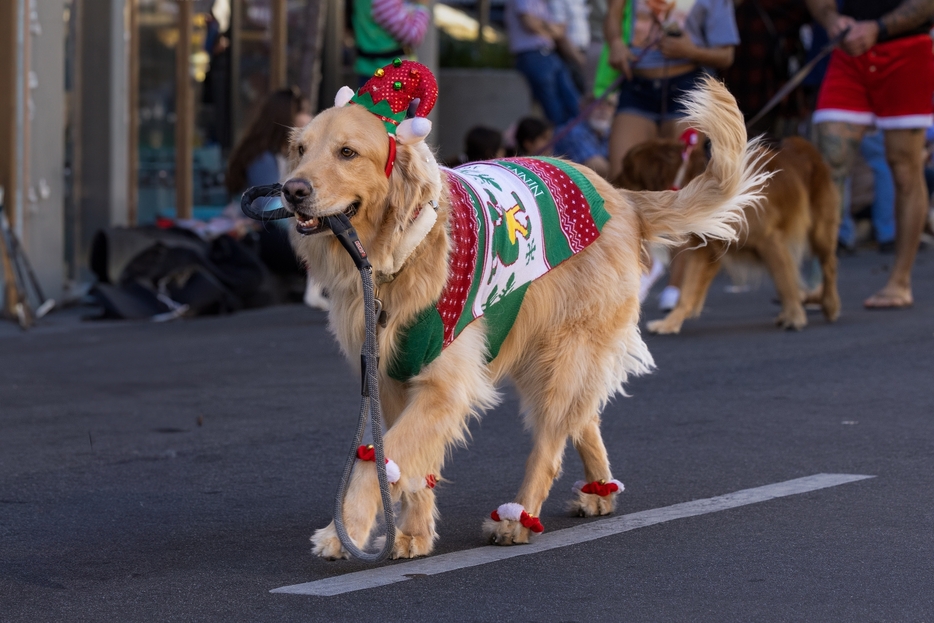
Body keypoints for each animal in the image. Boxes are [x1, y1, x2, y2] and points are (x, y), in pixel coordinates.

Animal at [286, 73, 768, 560]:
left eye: (348, 152)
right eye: (301, 149)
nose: (291, 191)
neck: (400, 254)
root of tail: (621, 196)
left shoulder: (443, 385)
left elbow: (379, 464)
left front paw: (345, 531)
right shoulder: (390, 380)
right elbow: (405, 464)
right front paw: (414, 534)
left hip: (564, 356)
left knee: (551, 447)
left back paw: (519, 518)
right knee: (584, 420)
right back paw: (600, 492)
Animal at [616, 135, 844, 334]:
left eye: (627, 170)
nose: (612, 183)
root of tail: (806, 144)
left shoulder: (769, 240)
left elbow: (783, 281)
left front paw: (795, 317)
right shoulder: (707, 250)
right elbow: (687, 292)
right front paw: (670, 323)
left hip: (820, 231)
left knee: (829, 265)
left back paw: (830, 305)